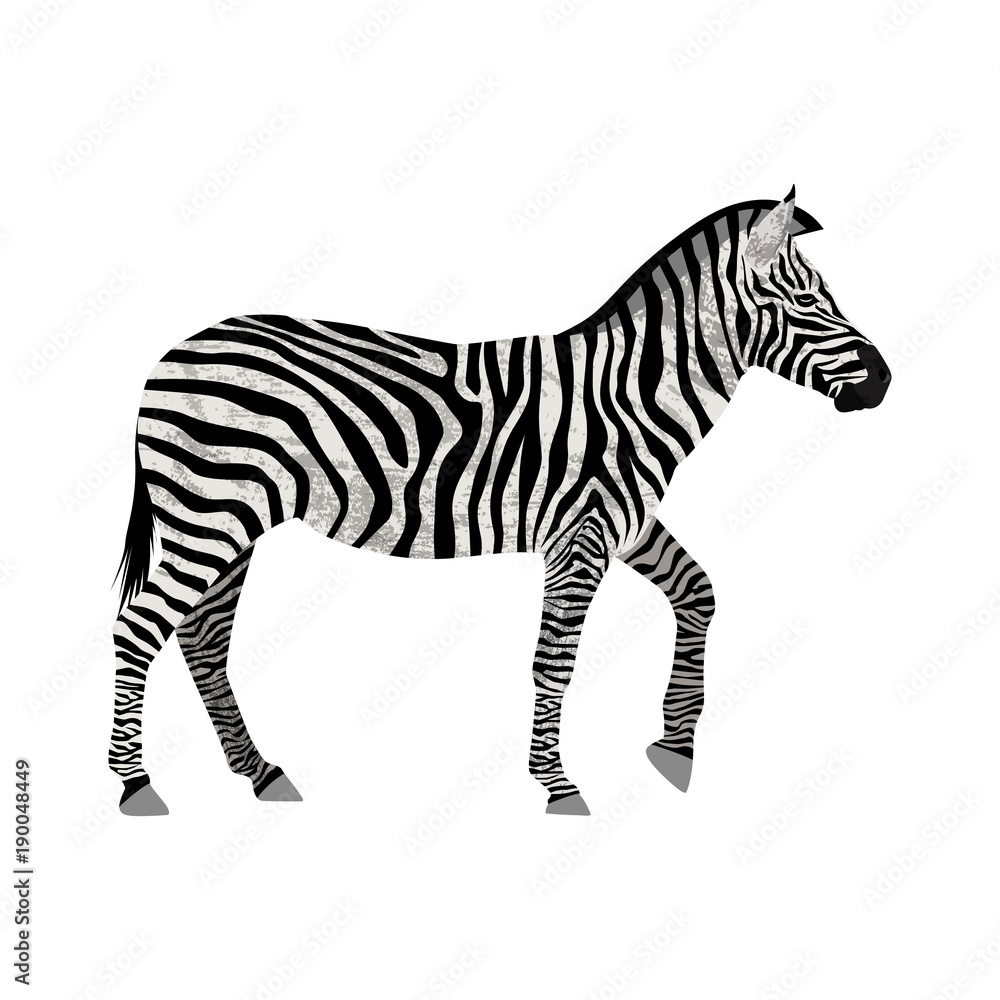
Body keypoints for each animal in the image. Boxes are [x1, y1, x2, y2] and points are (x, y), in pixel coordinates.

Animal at [110, 188, 890, 816]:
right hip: (207, 515)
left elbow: (699, 593)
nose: (883, 381)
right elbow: (556, 660)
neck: (631, 395)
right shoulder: (580, 536)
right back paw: (134, 784)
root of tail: (168, 356)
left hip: (232, 523)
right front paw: (558, 784)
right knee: (139, 627)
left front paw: (675, 745)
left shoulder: (626, 525)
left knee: (203, 636)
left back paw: (260, 772)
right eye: (807, 301)